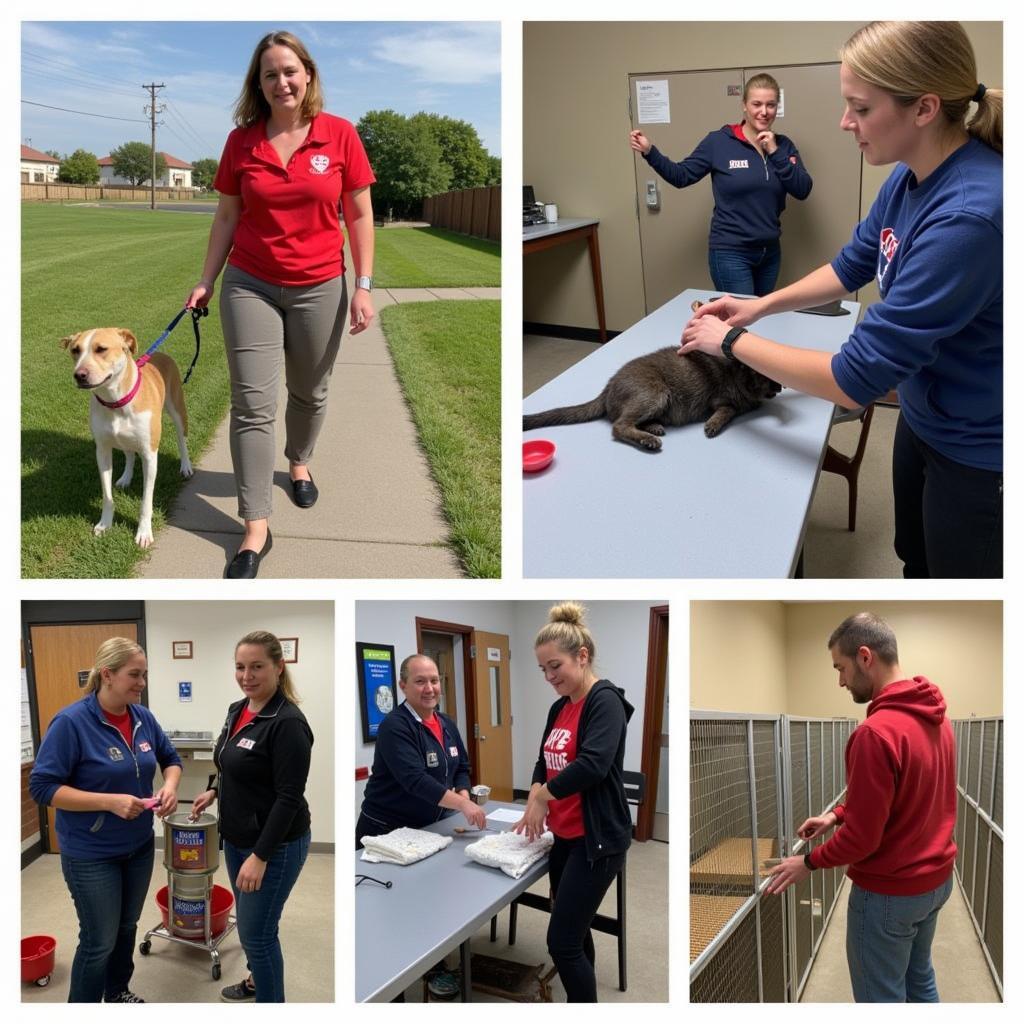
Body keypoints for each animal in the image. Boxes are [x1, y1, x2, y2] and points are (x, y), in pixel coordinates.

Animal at [62, 329, 193, 552]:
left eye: (101, 349)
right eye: (75, 350)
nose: (79, 375)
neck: (116, 401)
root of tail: (161, 354)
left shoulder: (150, 455)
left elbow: (146, 502)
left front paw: (144, 533)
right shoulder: (102, 451)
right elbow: (107, 495)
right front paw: (105, 524)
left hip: (177, 408)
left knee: (181, 438)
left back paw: (185, 466)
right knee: (129, 452)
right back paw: (126, 477)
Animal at [524, 348, 778, 452]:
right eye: (768, 377)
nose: (780, 386)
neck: (738, 374)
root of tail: (607, 387)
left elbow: (730, 410)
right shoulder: (720, 402)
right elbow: (728, 411)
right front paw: (713, 425)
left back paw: (653, 428)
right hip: (656, 393)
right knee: (619, 426)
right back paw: (648, 439)